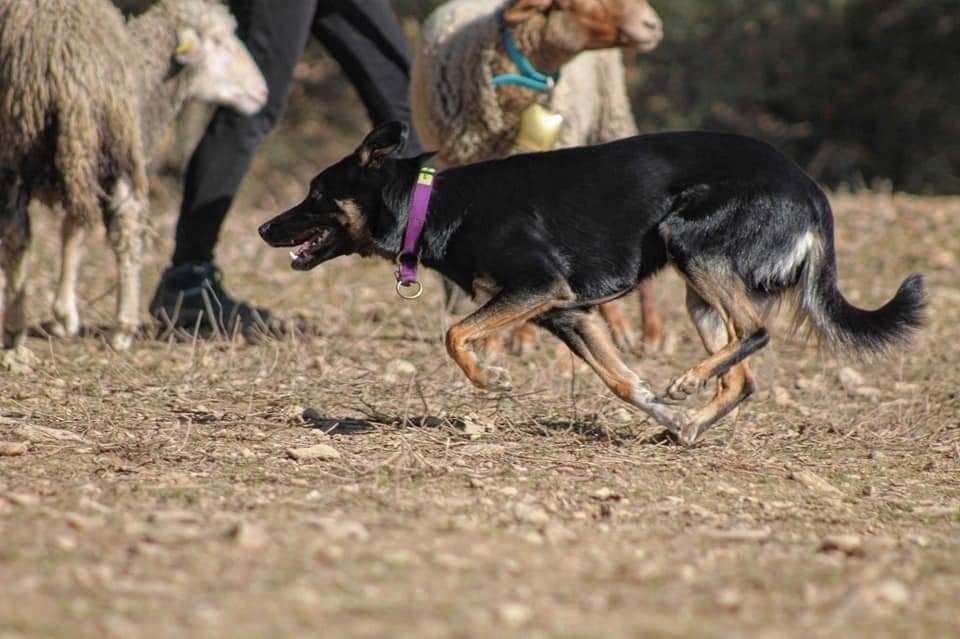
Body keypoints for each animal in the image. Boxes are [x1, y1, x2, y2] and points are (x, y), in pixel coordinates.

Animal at [0, 0, 266, 350]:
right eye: (219, 41)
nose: (263, 91)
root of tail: (63, 58)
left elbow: (73, 230)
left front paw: (62, 315)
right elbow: (77, 230)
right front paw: (67, 315)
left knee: (20, 234)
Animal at [258, 124, 928, 444]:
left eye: (316, 195)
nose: (263, 227)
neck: (432, 203)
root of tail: (812, 192)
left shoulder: (540, 289)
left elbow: (454, 336)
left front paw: (491, 379)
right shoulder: (566, 313)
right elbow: (621, 382)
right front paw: (665, 415)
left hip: (689, 242)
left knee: (757, 332)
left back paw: (690, 381)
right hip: (697, 291)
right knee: (742, 375)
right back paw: (692, 422)